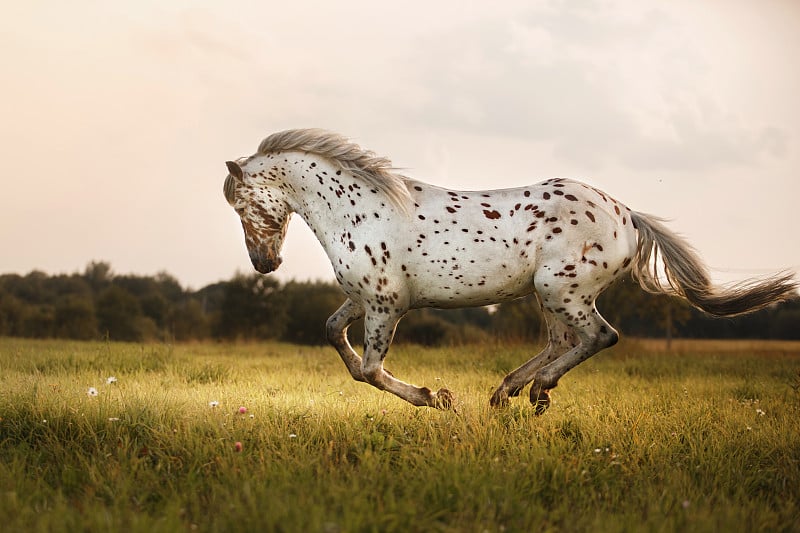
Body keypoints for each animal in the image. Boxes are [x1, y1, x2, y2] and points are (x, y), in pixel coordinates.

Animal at [225, 128, 800, 412]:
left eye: (240, 204)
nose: (263, 263)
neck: (359, 208)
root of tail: (627, 215)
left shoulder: (386, 304)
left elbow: (368, 370)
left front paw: (437, 399)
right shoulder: (362, 298)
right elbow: (332, 335)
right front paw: (444, 397)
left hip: (562, 290)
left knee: (599, 337)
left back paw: (537, 392)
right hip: (549, 295)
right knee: (560, 342)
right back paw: (508, 393)